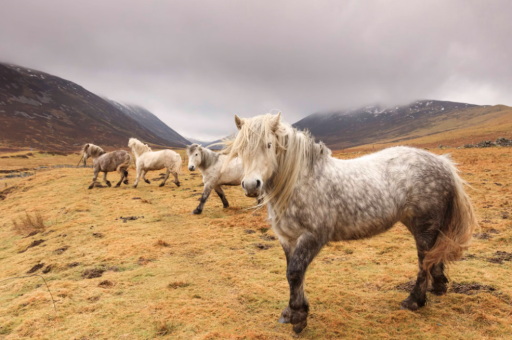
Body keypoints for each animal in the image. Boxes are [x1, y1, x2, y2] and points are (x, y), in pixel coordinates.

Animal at [226, 113, 478, 334]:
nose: (251, 185)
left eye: (269, 145)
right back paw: (439, 286)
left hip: (424, 226)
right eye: (240, 149)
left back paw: (414, 300)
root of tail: (442, 163)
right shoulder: (287, 238)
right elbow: (293, 274)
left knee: (424, 260)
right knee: (434, 256)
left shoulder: (313, 236)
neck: (301, 181)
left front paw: (298, 317)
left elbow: (295, 273)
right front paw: (293, 311)